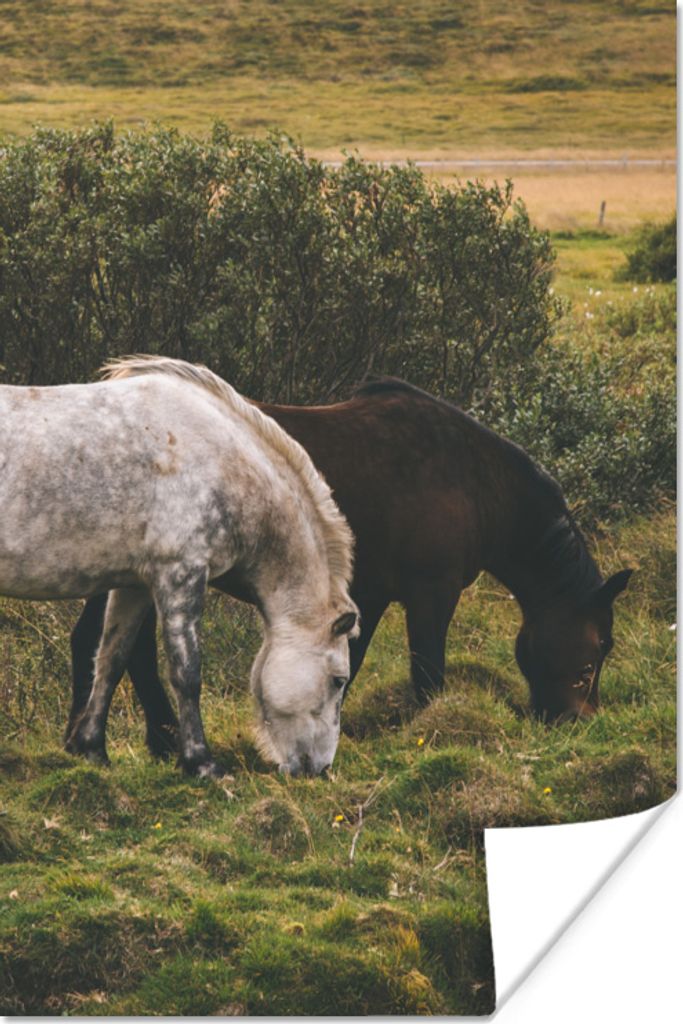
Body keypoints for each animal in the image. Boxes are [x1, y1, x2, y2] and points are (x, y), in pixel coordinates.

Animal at [0, 357, 359, 778]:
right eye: (338, 680)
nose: (320, 768)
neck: (219, 460)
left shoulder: (135, 585)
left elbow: (111, 659)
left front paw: (92, 749)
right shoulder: (180, 575)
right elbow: (186, 672)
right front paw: (200, 762)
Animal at [68, 378, 632, 758]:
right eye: (599, 648)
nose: (578, 720)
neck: (472, 482)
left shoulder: (372, 595)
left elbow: (349, 665)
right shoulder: (432, 593)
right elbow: (428, 672)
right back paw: (151, 740)